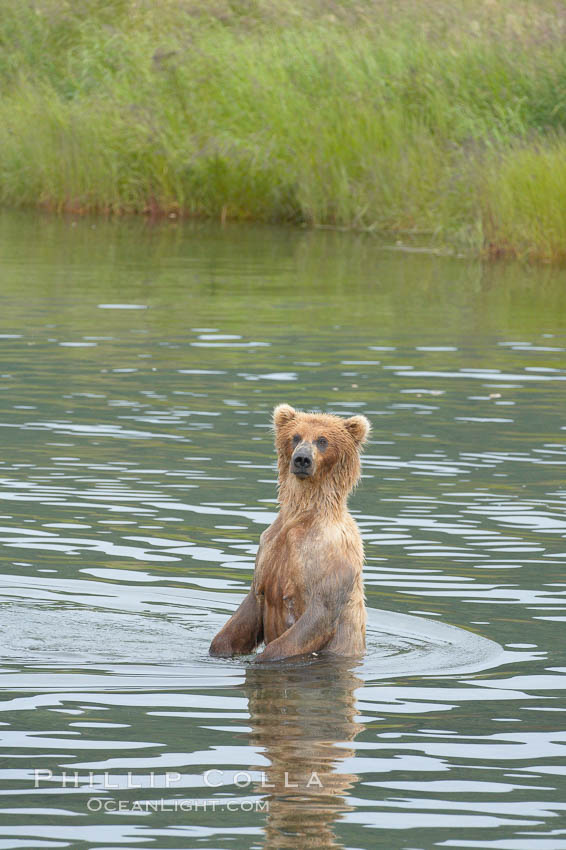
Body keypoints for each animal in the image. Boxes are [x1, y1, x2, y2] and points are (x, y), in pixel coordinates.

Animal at [210, 404, 372, 664]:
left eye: (322, 440)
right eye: (295, 436)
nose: (302, 459)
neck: (303, 515)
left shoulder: (329, 557)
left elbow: (318, 615)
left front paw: (263, 658)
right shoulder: (269, 548)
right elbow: (250, 606)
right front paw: (221, 647)